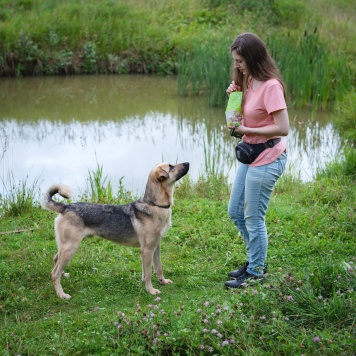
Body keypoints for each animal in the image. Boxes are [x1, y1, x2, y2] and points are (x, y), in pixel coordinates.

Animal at [41, 163, 189, 298]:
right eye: (171, 166)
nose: (187, 163)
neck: (155, 205)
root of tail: (65, 207)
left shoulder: (155, 246)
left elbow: (158, 268)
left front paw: (162, 282)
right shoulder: (147, 250)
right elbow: (148, 274)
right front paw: (151, 290)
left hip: (65, 247)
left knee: (56, 260)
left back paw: (63, 275)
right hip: (70, 248)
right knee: (54, 273)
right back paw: (61, 294)